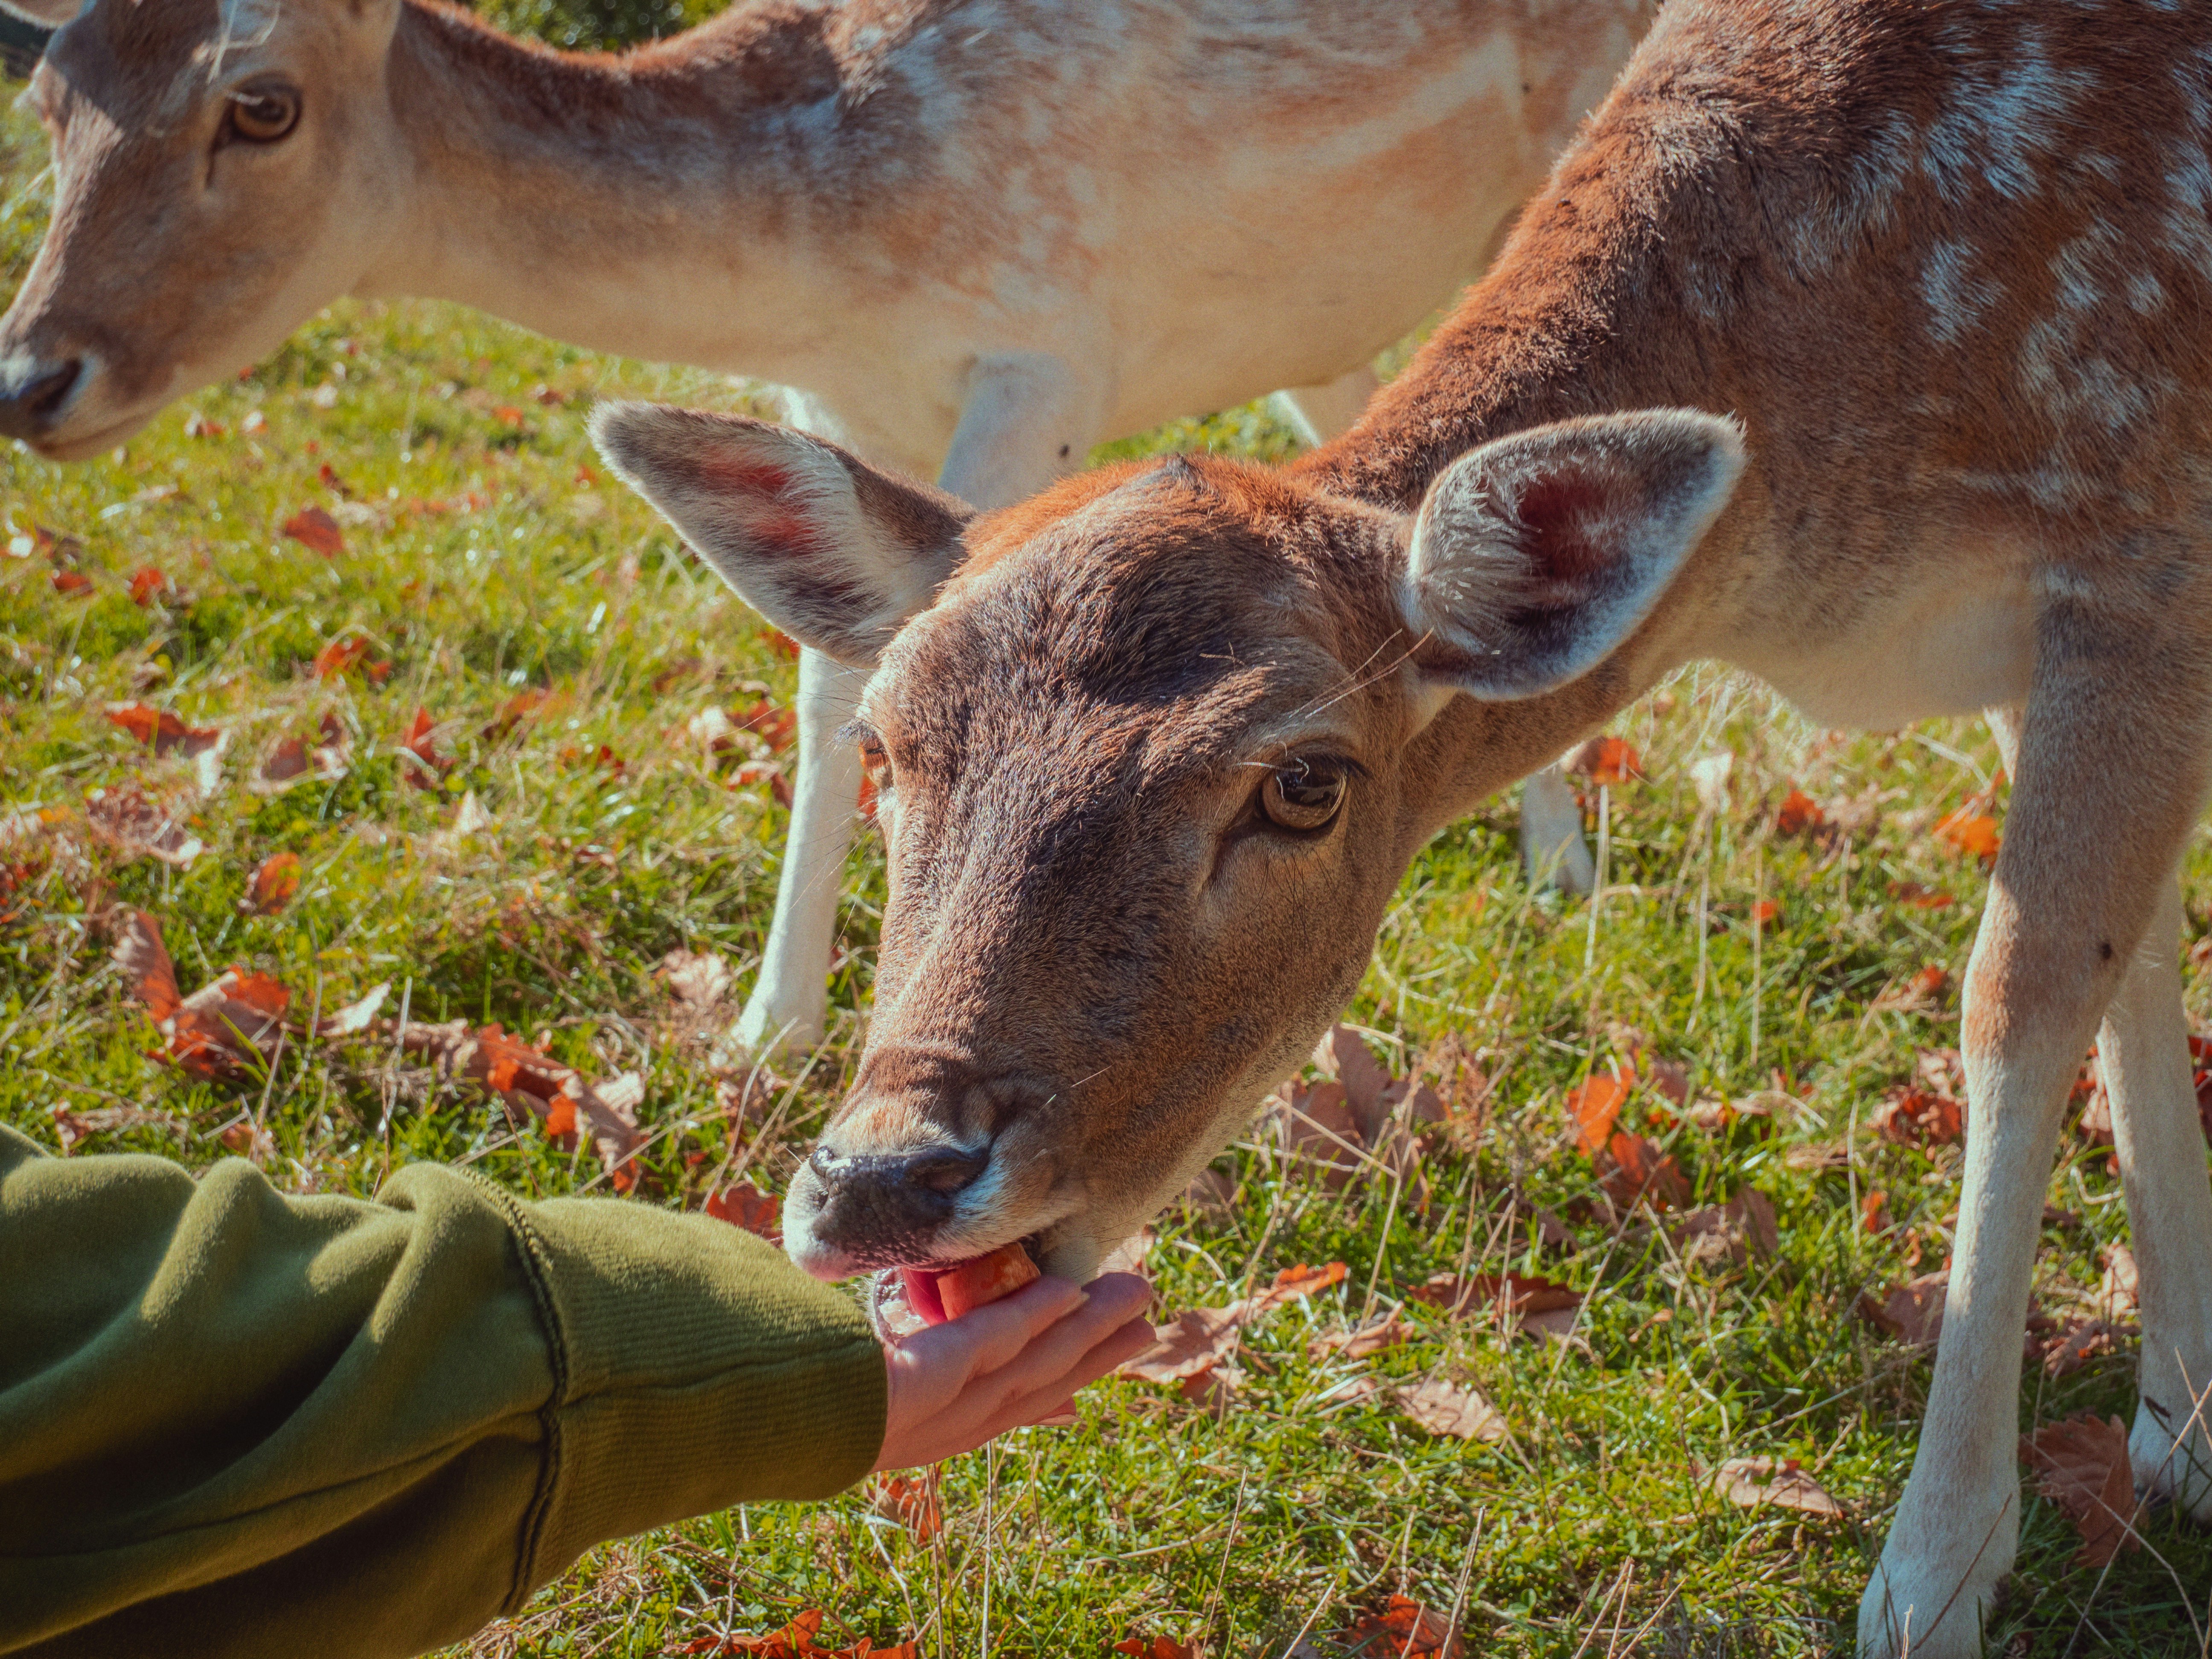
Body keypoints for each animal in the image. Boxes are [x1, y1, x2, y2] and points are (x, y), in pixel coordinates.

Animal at [0, 0, 1652, 1061]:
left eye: (260, 103)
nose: (29, 375)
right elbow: (830, 670)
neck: (818, 258)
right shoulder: (831, 396)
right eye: (50, 99)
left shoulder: (1043, 357)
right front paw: (766, 1032)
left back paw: (1567, 872)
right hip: (1318, 332)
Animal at [596, 0, 2212, 1647]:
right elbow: (2128, 959)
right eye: (884, 740)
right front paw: (2179, 1424)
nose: (878, 1180)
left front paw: (1936, 1574)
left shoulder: (2140, 560)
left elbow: (2020, 997)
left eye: (1304, 782)